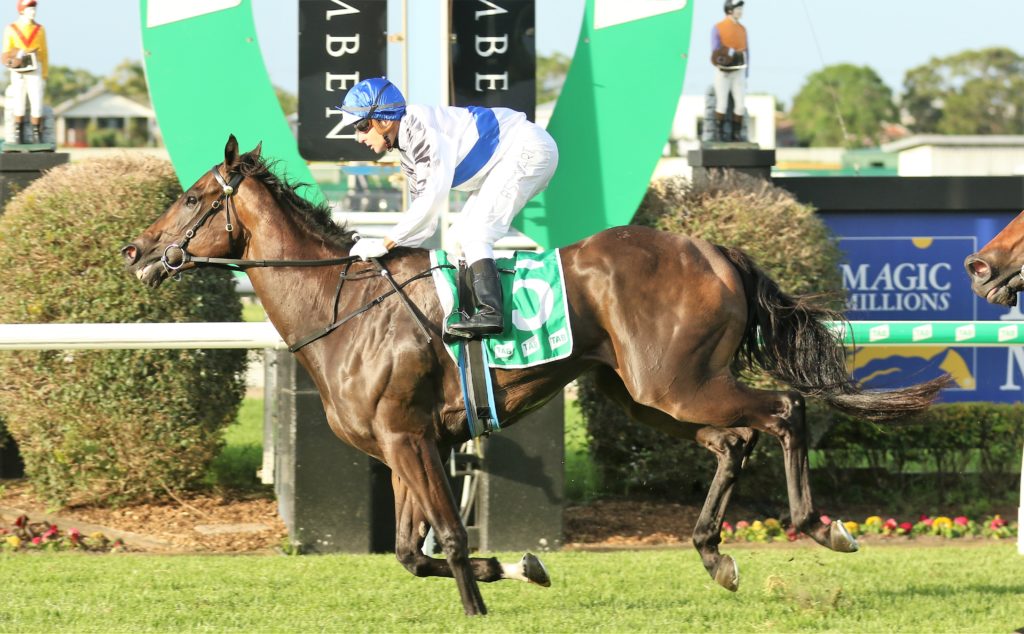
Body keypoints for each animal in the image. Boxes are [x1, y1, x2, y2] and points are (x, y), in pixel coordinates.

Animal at [121, 136, 948, 616]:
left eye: (192, 197)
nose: (135, 251)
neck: (345, 306)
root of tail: (715, 249)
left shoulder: (409, 436)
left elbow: (449, 542)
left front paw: (481, 600)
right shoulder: (405, 443)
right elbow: (411, 553)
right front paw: (520, 564)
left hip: (674, 383)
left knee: (781, 411)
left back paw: (820, 526)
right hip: (644, 393)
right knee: (735, 440)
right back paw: (715, 551)